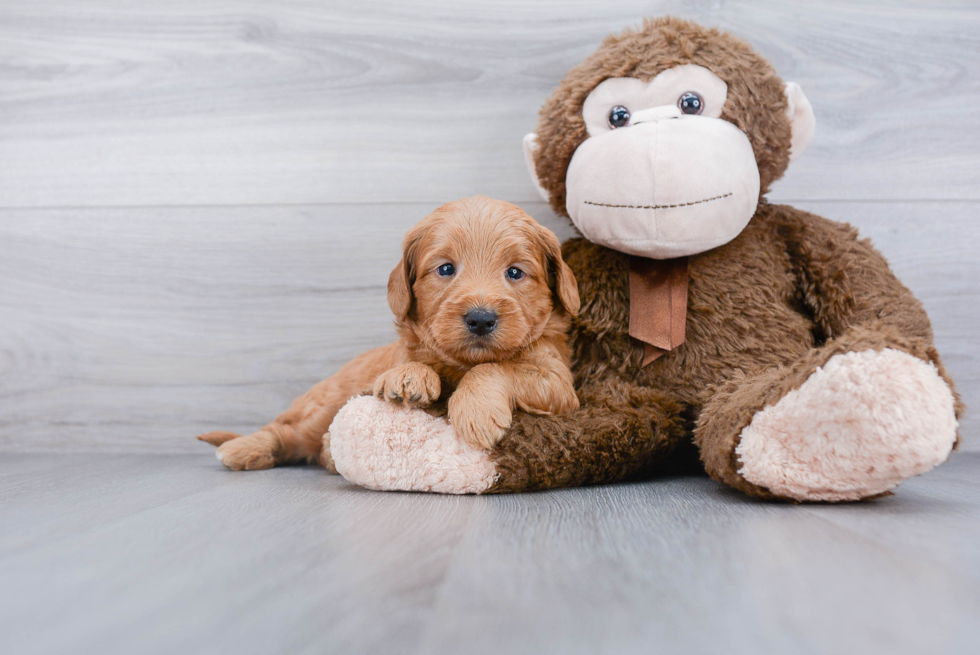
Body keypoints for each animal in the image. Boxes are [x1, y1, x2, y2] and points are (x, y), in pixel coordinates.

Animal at [199, 196, 580, 472]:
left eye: (515, 272)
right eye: (445, 269)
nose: (481, 319)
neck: (459, 364)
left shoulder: (557, 382)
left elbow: (495, 367)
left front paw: (475, 409)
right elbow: (410, 364)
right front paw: (408, 377)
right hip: (328, 403)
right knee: (286, 432)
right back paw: (245, 447)